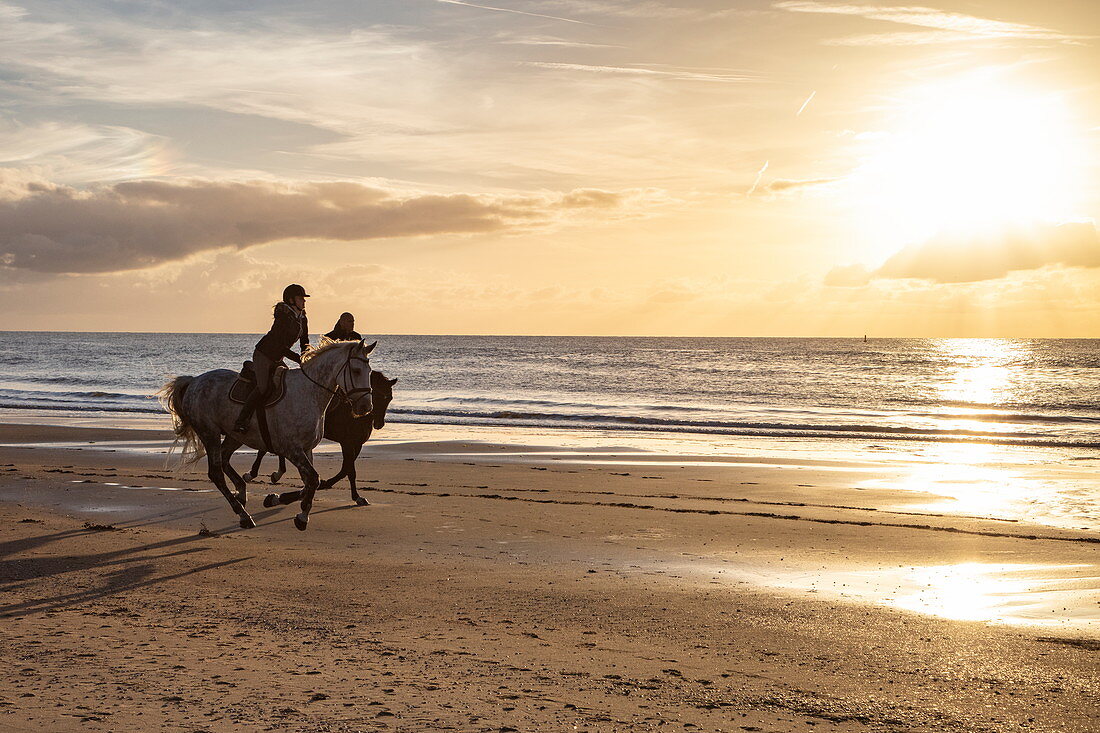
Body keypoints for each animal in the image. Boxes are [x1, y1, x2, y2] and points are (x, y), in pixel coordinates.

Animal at [157, 338, 376, 528]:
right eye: (356, 370)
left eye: (369, 371)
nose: (366, 407)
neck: (309, 393)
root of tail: (194, 381)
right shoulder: (291, 449)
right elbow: (313, 480)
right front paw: (301, 517)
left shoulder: (306, 449)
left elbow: (310, 483)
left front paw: (278, 500)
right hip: (209, 433)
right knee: (216, 472)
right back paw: (243, 514)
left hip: (234, 435)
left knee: (225, 459)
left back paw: (241, 493)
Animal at [244, 367, 396, 506]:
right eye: (377, 396)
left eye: (389, 398)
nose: (379, 424)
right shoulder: (347, 442)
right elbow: (350, 471)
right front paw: (356, 496)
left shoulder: (356, 444)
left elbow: (345, 469)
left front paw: (325, 484)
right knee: (265, 449)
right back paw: (254, 474)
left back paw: (275, 474)